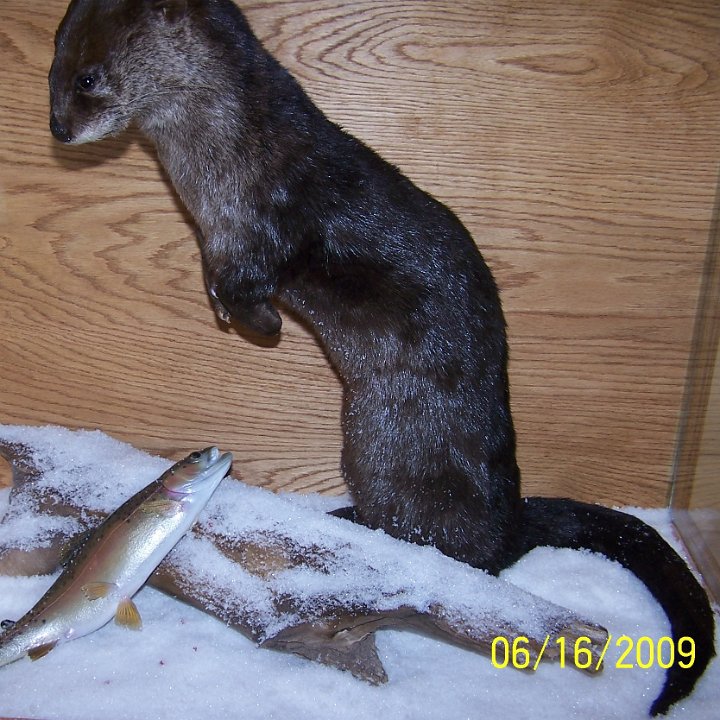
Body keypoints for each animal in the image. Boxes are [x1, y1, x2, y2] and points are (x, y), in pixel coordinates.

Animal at [48, 1, 714, 714]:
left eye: (88, 77)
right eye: (53, 69)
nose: (58, 126)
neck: (222, 162)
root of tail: (510, 520)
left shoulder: (265, 223)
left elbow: (256, 280)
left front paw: (259, 320)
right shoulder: (218, 239)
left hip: (385, 450)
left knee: (460, 553)